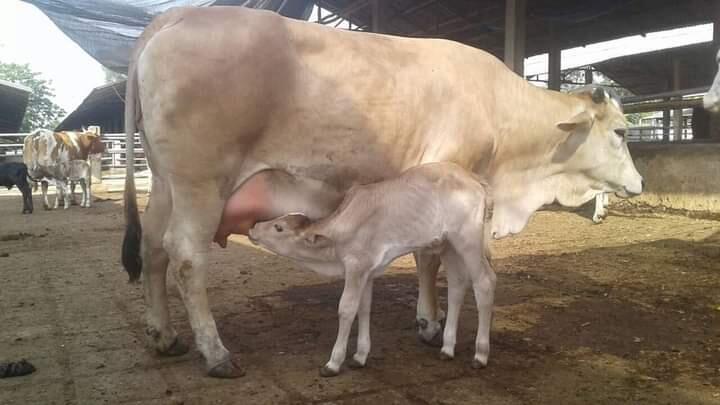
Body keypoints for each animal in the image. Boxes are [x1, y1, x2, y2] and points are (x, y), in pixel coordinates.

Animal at [249, 163, 496, 378]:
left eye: (278, 227)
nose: (253, 228)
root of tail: (473, 178)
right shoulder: (367, 272)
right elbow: (364, 308)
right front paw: (359, 356)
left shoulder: (355, 266)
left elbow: (347, 309)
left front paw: (333, 363)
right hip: (447, 245)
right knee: (456, 284)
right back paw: (447, 348)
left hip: (468, 240)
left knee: (484, 282)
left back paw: (480, 355)